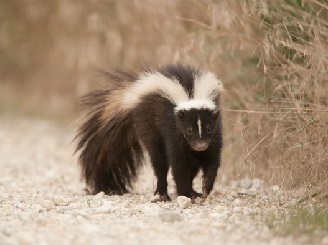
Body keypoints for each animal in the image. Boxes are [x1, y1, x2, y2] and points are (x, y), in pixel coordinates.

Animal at [75, 64, 223, 201]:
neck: (190, 96)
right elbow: (178, 163)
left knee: (192, 165)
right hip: (148, 125)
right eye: (189, 130)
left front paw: (204, 187)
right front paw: (184, 193)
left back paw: (192, 191)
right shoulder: (173, 130)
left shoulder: (215, 133)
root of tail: (131, 96)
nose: (200, 146)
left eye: (208, 129)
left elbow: (212, 160)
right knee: (159, 163)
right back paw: (162, 194)